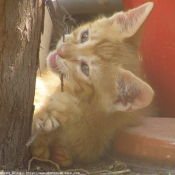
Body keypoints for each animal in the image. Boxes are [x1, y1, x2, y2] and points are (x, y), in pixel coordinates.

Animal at [31, 2, 154, 167]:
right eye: (84, 36)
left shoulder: (106, 134)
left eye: (85, 69)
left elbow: (86, 143)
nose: (61, 51)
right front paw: (42, 117)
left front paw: (70, 112)